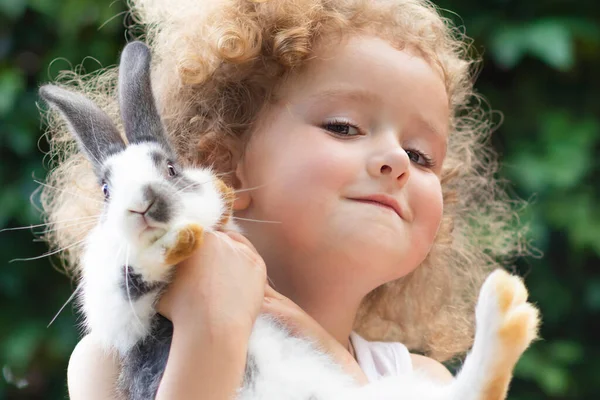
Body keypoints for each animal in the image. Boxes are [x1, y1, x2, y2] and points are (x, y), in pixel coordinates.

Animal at [41, 40, 540, 400]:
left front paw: (179, 237)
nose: (144, 205)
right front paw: (174, 242)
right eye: (106, 190)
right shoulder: (117, 316)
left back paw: (505, 311)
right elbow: (126, 279)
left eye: (171, 169)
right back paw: (509, 314)